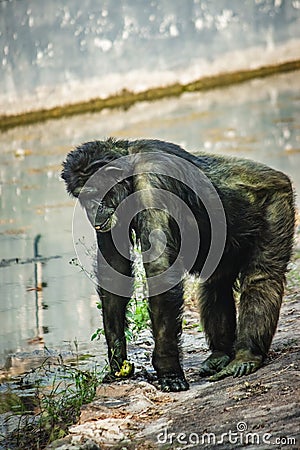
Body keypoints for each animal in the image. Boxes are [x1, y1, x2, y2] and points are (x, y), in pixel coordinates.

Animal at [61, 137, 296, 390]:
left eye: (94, 193)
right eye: (82, 197)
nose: (92, 210)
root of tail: (277, 175)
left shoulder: (153, 183)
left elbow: (160, 270)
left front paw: (169, 370)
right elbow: (114, 269)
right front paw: (117, 361)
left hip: (276, 203)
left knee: (262, 277)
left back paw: (246, 356)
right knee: (214, 284)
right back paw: (220, 354)